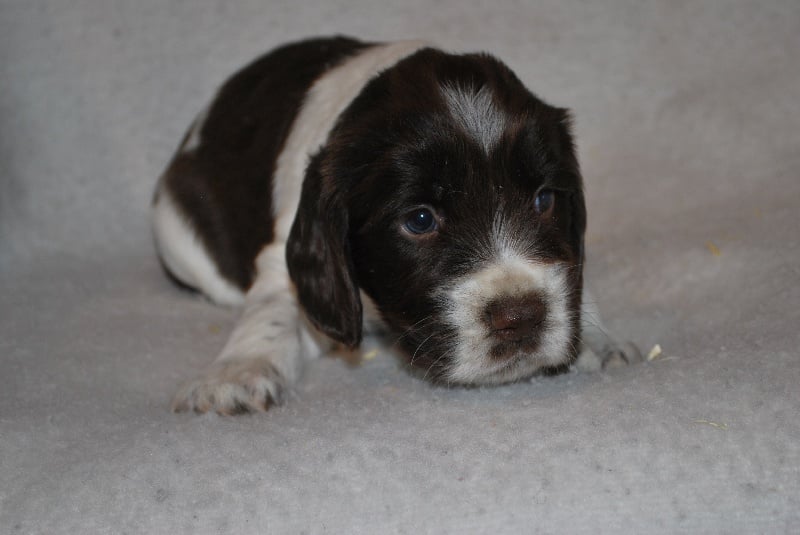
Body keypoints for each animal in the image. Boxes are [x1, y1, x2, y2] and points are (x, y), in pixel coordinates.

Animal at [152, 36, 639, 415]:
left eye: (544, 200)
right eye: (419, 220)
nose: (520, 317)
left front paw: (597, 338)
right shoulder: (281, 258)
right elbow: (272, 310)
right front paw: (236, 373)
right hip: (177, 237)